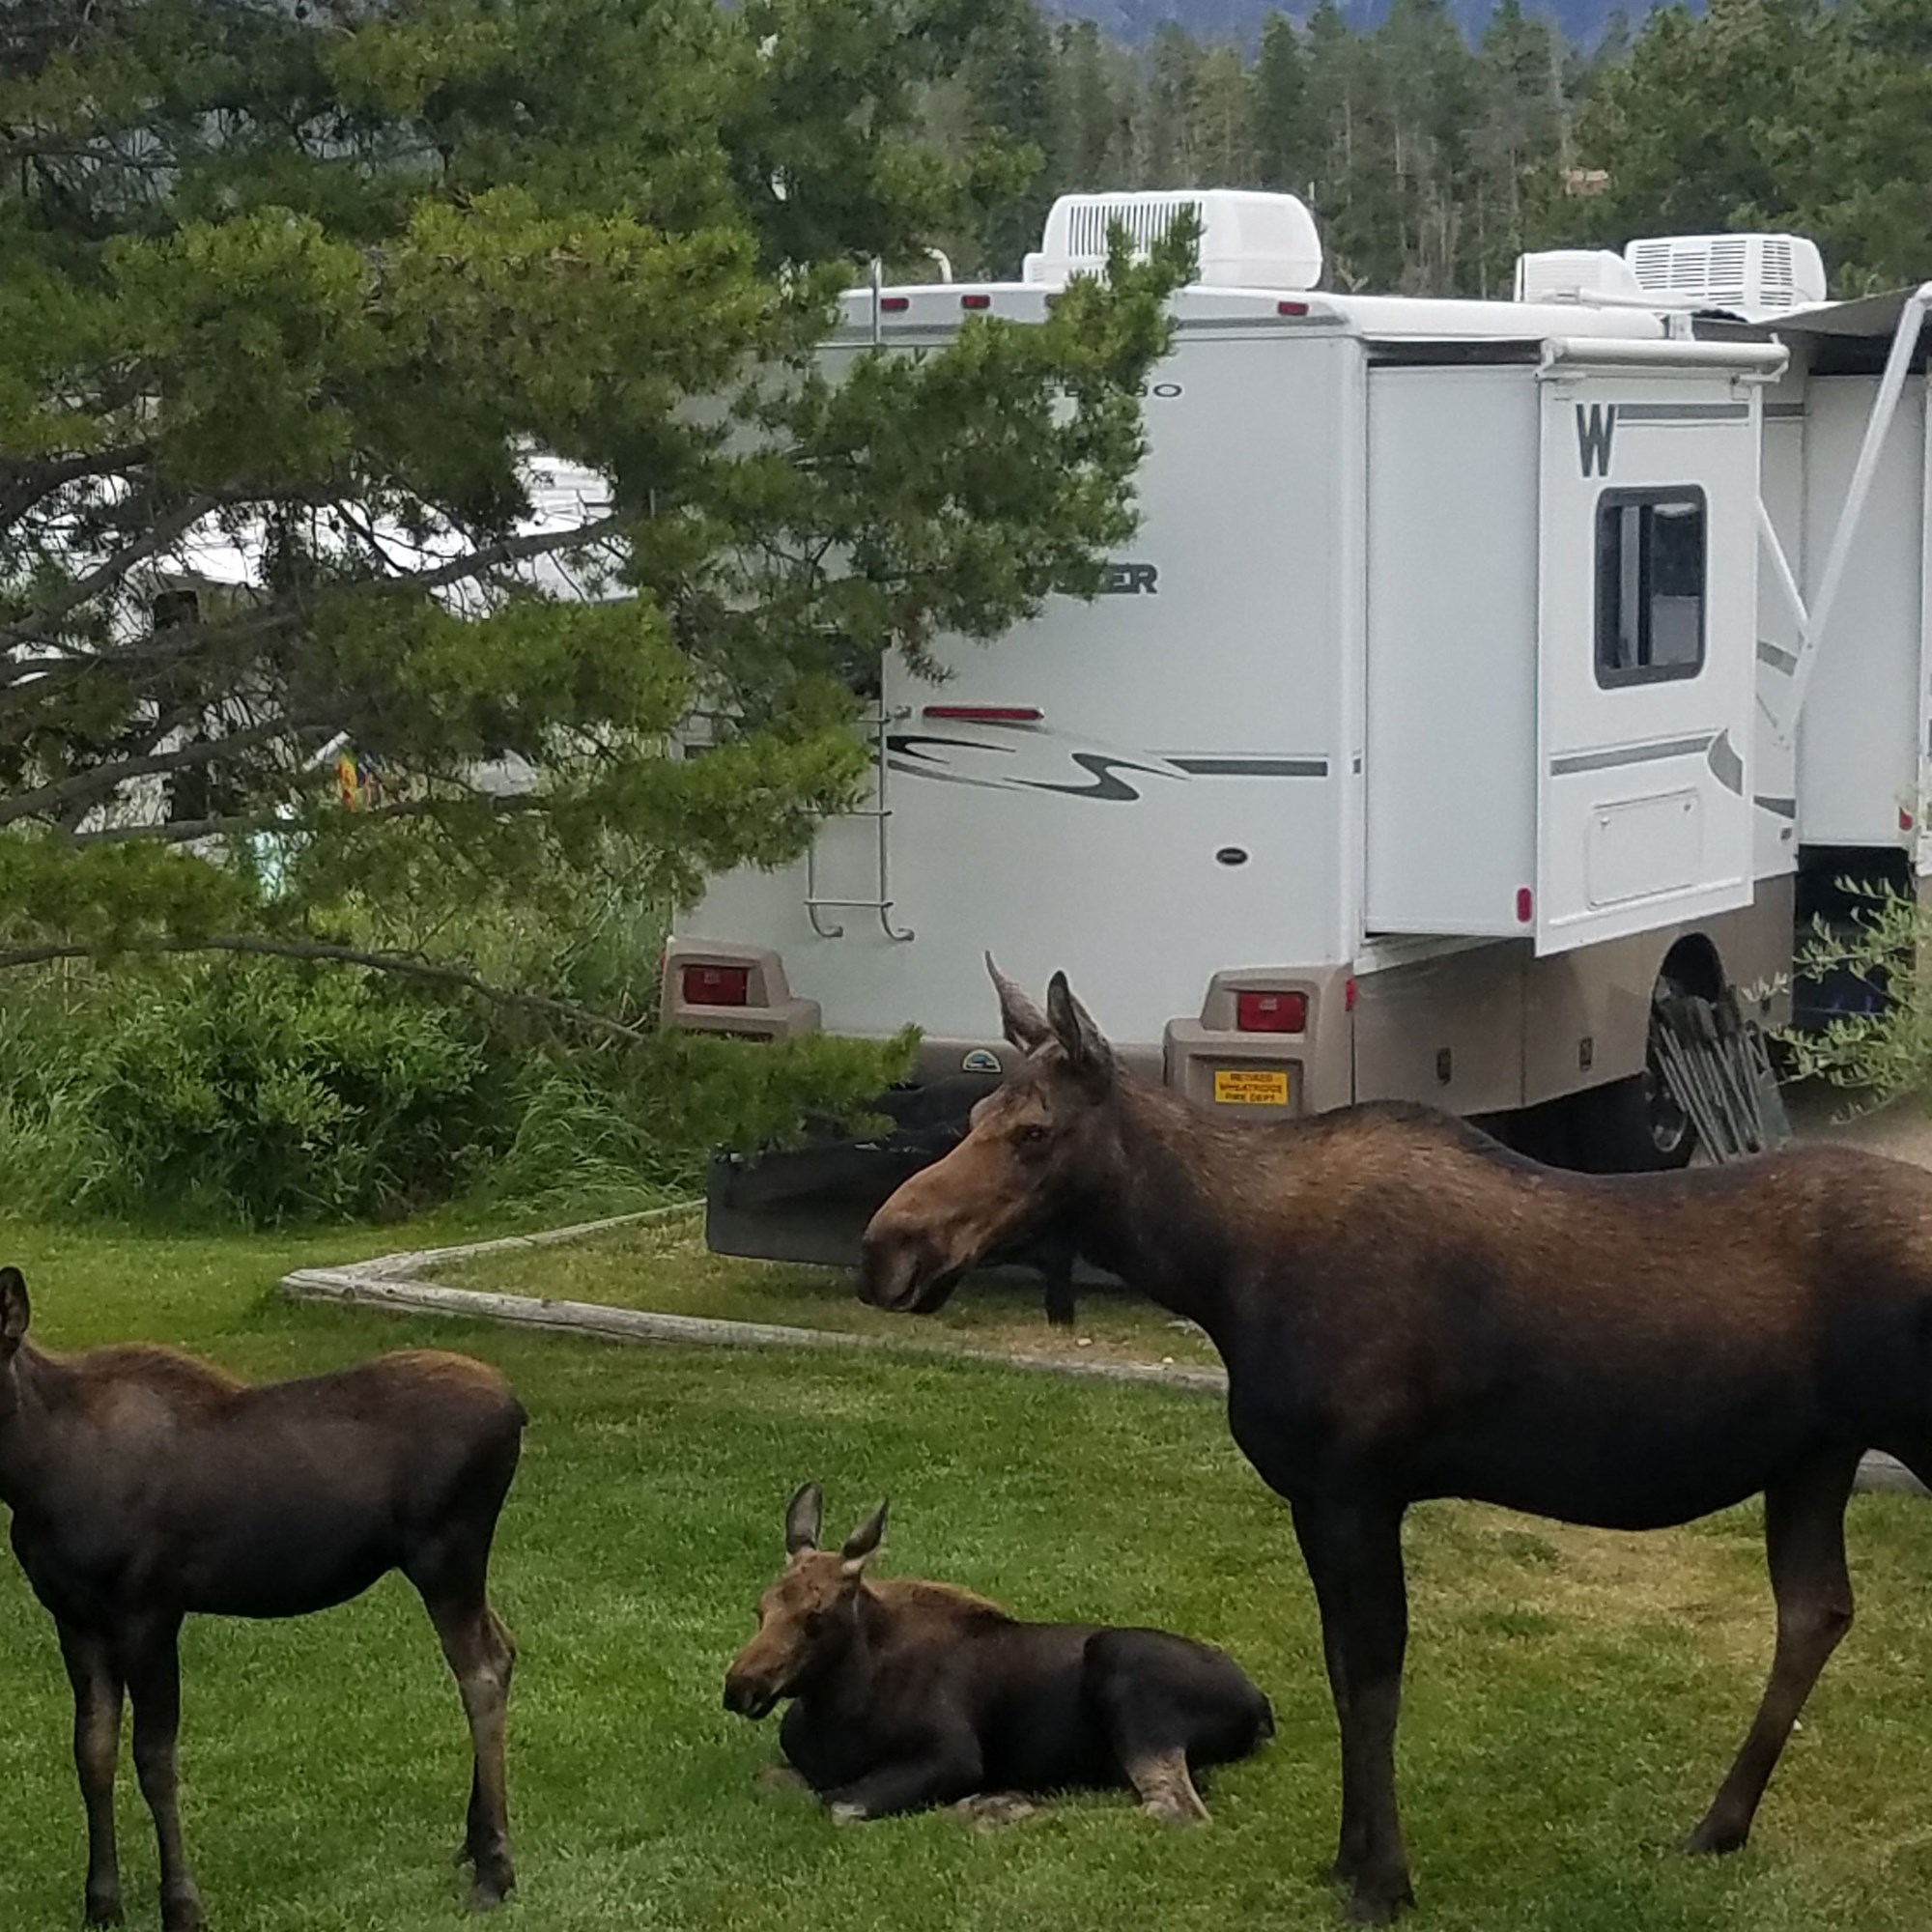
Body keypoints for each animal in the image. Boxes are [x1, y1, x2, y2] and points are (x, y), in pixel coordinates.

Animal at [0, 1267, 526, 1932]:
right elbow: (91, 1753)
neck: (33, 1478)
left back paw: (496, 1870)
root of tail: (518, 1412)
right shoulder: (73, 1616)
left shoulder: (149, 1610)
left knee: (479, 1669)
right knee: (502, 1648)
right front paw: (101, 1902)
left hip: (447, 1556)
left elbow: (155, 1759)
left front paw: (182, 1905)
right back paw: (475, 1843)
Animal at [858, 958, 1932, 1924]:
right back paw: (1717, 1825)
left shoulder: (1355, 1487)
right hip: (1812, 1456)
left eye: (1033, 1131)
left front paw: (1383, 1880)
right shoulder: (1319, 1496)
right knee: (1814, 1612)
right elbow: (1341, 1673)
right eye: (973, 1117)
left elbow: (1372, 1679)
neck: (1213, 1268)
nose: (886, 1249)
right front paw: (1346, 1856)